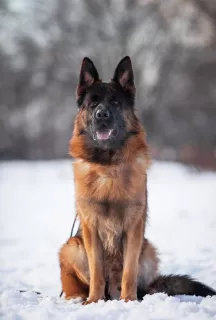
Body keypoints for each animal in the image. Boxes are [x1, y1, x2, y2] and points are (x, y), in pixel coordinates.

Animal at [58, 56, 214, 304]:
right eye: (92, 104)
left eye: (114, 102)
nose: (102, 115)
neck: (108, 166)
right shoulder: (91, 229)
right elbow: (96, 271)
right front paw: (94, 301)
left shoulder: (133, 228)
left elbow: (129, 271)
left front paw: (129, 301)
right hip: (71, 247)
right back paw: (81, 298)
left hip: (148, 250)